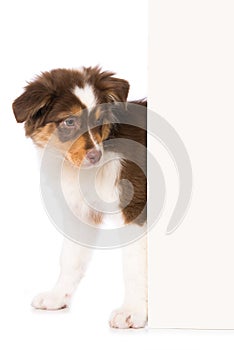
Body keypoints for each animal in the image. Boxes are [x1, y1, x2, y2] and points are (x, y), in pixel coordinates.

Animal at [12, 66, 147, 328]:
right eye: (70, 121)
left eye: (98, 120)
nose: (95, 156)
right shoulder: (81, 213)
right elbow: (70, 257)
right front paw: (57, 296)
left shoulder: (136, 209)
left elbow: (133, 265)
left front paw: (133, 311)